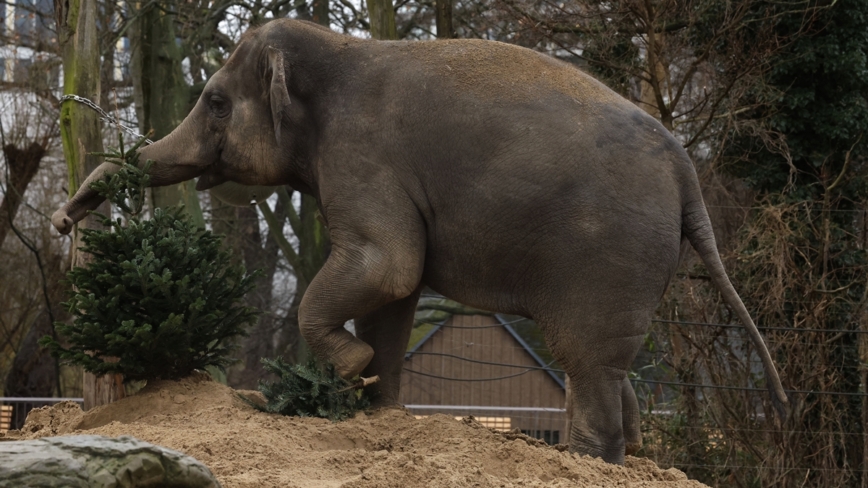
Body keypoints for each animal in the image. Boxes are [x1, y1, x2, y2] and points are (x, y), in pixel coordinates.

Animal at [50, 17, 792, 464]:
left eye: (213, 102)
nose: (63, 221)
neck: (335, 45)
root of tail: (686, 170)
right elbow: (392, 296)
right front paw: (373, 399)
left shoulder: (362, 155)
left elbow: (388, 267)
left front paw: (350, 372)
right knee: (607, 367)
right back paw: (620, 457)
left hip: (608, 254)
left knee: (588, 360)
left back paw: (584, 459)